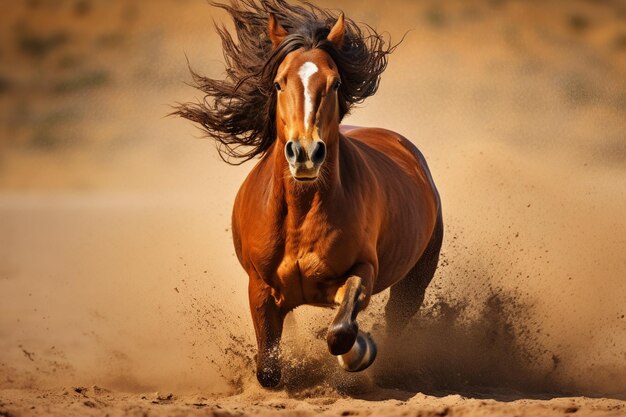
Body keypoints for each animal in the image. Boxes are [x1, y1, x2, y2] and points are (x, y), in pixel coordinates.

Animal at [173, 0, 442, 388]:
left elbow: (342, 328)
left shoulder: (362, 268)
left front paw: (357, 351)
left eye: (335, 81)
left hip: (416, 279)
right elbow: (268, 369)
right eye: (278, 82)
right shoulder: (260, 287)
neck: (300, 214)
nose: (305, 153)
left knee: (395, 317)